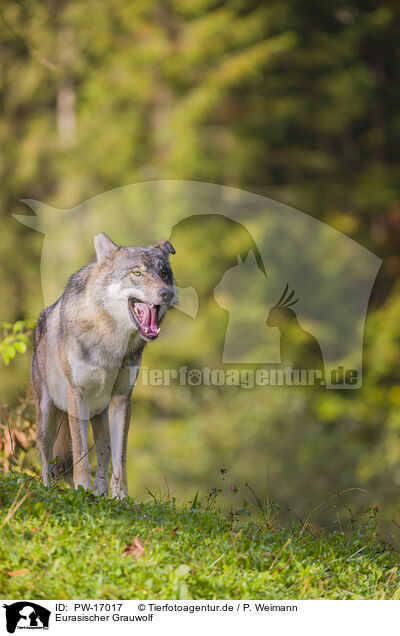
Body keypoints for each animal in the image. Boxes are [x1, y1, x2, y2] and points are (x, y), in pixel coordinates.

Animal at [31, 231, 175, 500]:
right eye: (137, 273)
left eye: (163, 273)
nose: (167, 293)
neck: (111, 338)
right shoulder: (76, 395)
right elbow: (80, 457)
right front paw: (81, 489)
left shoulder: (122, 398)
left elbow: (120, 459)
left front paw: (120, 497)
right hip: (47, 417)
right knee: (47, 460)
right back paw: (50, 489)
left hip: (100, 413)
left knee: (105, 451)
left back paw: (100, 492)